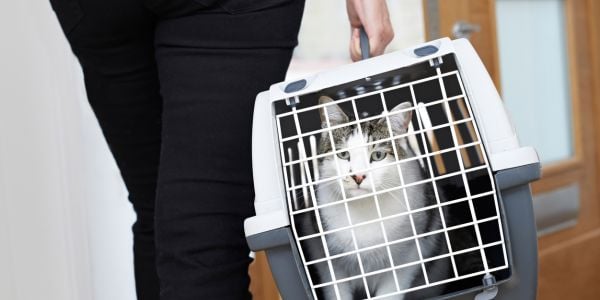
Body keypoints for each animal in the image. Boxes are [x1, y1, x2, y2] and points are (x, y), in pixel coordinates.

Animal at [304, 96, 450, 300]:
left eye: (378, 155)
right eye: (343, 154)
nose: (358, 176)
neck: (365, 209)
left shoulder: (409, 256)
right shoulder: (326, 259)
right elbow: (336, 289)